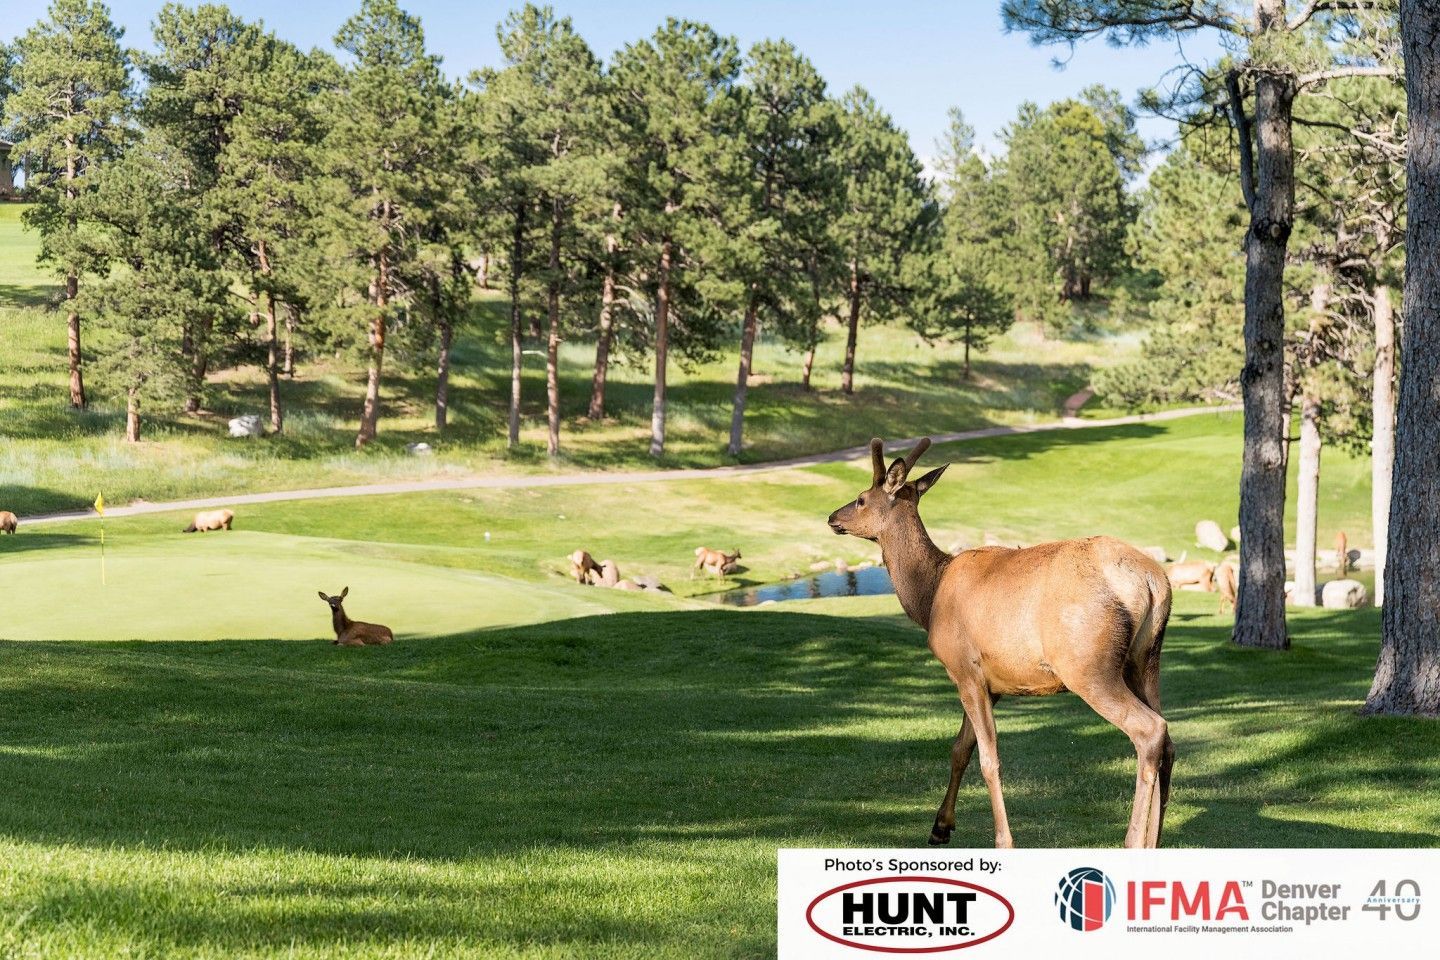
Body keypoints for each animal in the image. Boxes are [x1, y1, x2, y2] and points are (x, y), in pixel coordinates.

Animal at [827, 438, 1175, 849]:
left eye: (861, 498)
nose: (832, 517)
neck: (928, 598)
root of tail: (1154, 582)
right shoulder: (989, 683)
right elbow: (960, 749)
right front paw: (940, 826)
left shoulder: (964, 668)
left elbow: (988, 759)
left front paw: (1002, 840)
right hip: (1146, 660)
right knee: (1168, 737)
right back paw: (1154, 840)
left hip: (1088, 665)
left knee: (1148, 730)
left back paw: (1134, 840)